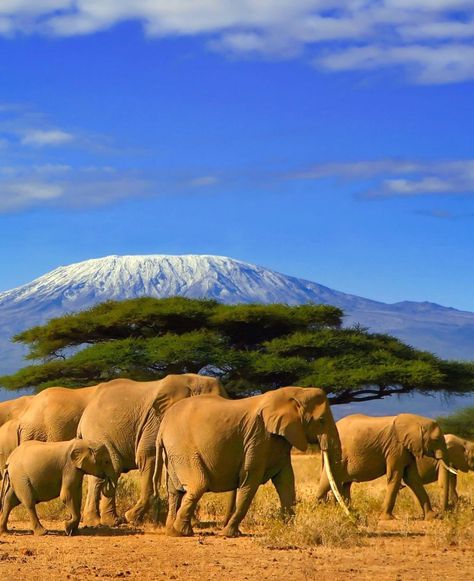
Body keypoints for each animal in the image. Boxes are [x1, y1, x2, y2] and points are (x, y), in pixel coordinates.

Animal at [78, 372, 228, 524]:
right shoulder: (156, 421)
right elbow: (148, 456)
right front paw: (131, 518)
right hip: (97, 433)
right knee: (109, 470)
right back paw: (106, 521)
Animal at [154, 386, 346, 540]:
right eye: (321, 421)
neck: (294, 393)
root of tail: (162, 428)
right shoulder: (258, 437)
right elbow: (250, 480)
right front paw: (230, 534)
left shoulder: (279, 440)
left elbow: (286, 481)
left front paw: (288, 530)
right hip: (182, 448)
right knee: (198, 485)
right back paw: (180, 532)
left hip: (173, 452)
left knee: (175, 490)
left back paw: (173, 531)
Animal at [314, 412, 452, 520]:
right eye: (436, 439)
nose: (443, 513)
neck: (415, 421)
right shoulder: (395, 447)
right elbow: (395, 476)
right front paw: (388, 518)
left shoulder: (406, 449)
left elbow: (412, 478)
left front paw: (432, 517)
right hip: (337, 454)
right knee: (327, 481)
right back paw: (316, 511)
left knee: (344, 484)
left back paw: (349, 512)